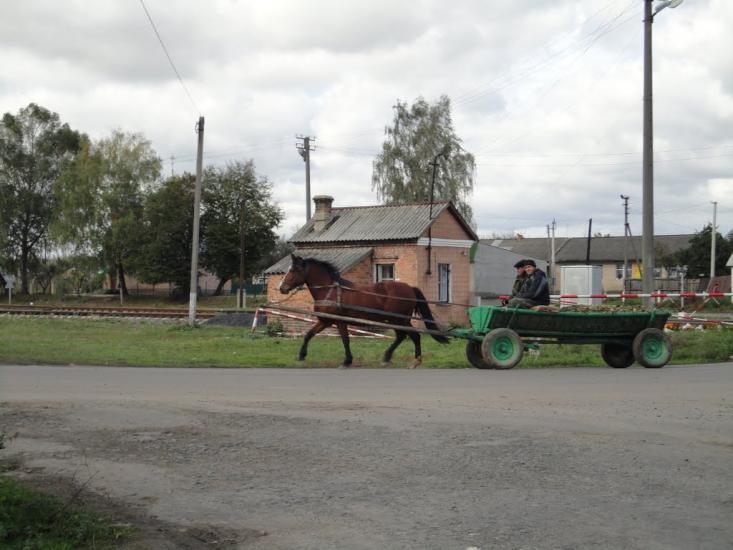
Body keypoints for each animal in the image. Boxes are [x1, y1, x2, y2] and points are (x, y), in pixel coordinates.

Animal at [278, 256, 448, 368]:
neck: (330, 291)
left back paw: (411, 360)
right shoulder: (325, 320)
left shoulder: (339, 321)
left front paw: (347, 361)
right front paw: (301, 355)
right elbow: (308, 335)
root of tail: (410, 288)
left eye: (293, 270)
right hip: (400, 320)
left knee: (409, 336)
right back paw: (394, 358)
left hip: (398, 320)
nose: (282, 288)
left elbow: (345, 340)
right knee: (406, 336)